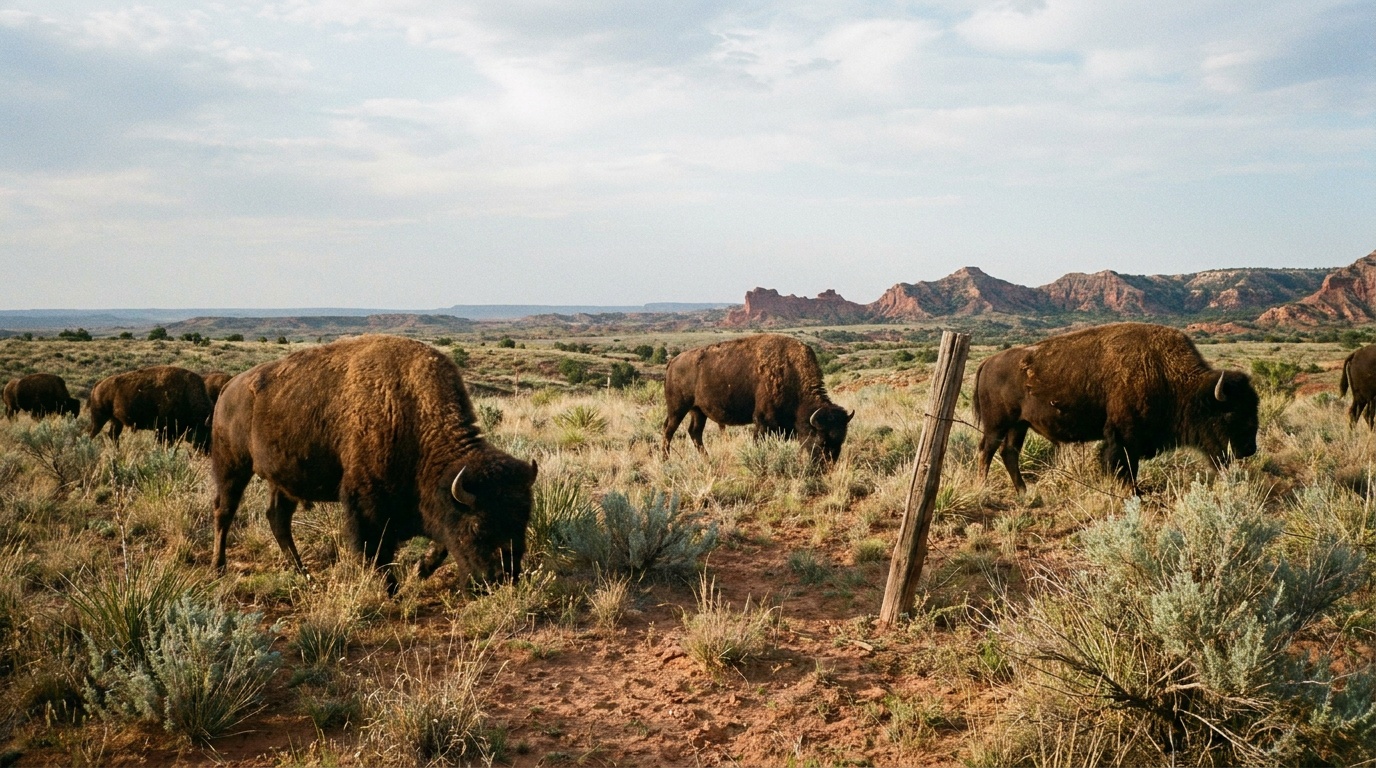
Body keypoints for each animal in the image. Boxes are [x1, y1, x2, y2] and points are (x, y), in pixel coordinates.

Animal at [210, 334, 537, 591]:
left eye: (523, 520)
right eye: (478, 528)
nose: (501, 579)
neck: (412, 413)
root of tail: (229, 388)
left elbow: (440, 543)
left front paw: (420, 569)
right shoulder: (366, 500)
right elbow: (375, 547)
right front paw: (389, 587)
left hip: (283, 480)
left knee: (278, 519)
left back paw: (303, 574)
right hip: (232, 467)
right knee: (224, 512)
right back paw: (218, 567)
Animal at [663, 334, 853, 463]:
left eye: (841, 440)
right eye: (821, 441)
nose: (827, 466)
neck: (791, 371)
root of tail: (673, 362)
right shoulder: (762, 421)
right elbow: (758, 442)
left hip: (698, 411)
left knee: (695, 432)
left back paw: (707, 460)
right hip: (677, 409)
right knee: (668, 430)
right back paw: (666, 460)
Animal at [974, 322, 1259, 494]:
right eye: (1231, 413)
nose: (1249, 449)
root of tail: (988, 361)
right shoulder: (1124, 437)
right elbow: (1125, 466)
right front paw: (1134, 493)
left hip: (1018, 426)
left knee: (1009, 453)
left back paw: (1024, 492)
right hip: (997, 425)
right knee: (987, 451)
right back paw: (983, 488)